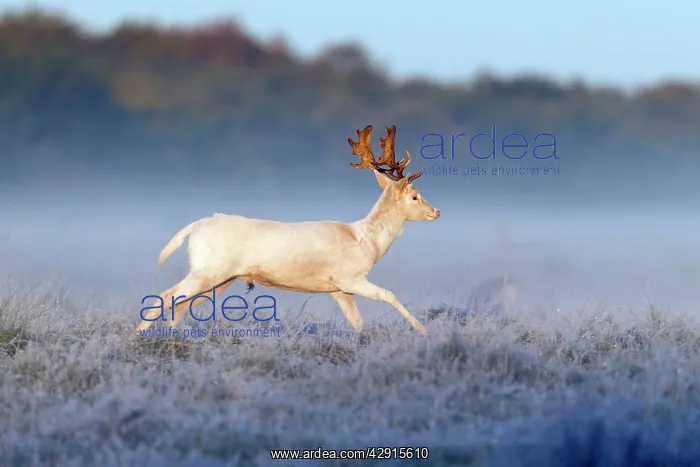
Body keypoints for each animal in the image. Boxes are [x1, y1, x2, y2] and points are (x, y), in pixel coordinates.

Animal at [136, 125, 440, 336]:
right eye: (415, 196)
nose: (435, 212)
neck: (367, 242)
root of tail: (195, 227)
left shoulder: (338, 289)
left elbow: (358, 324)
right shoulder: (350, 277)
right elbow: (390, 295)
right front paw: (424, 332)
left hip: (219, 279)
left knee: (179, 306)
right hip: (208, 271)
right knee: (167, 296)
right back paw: (139, 337)